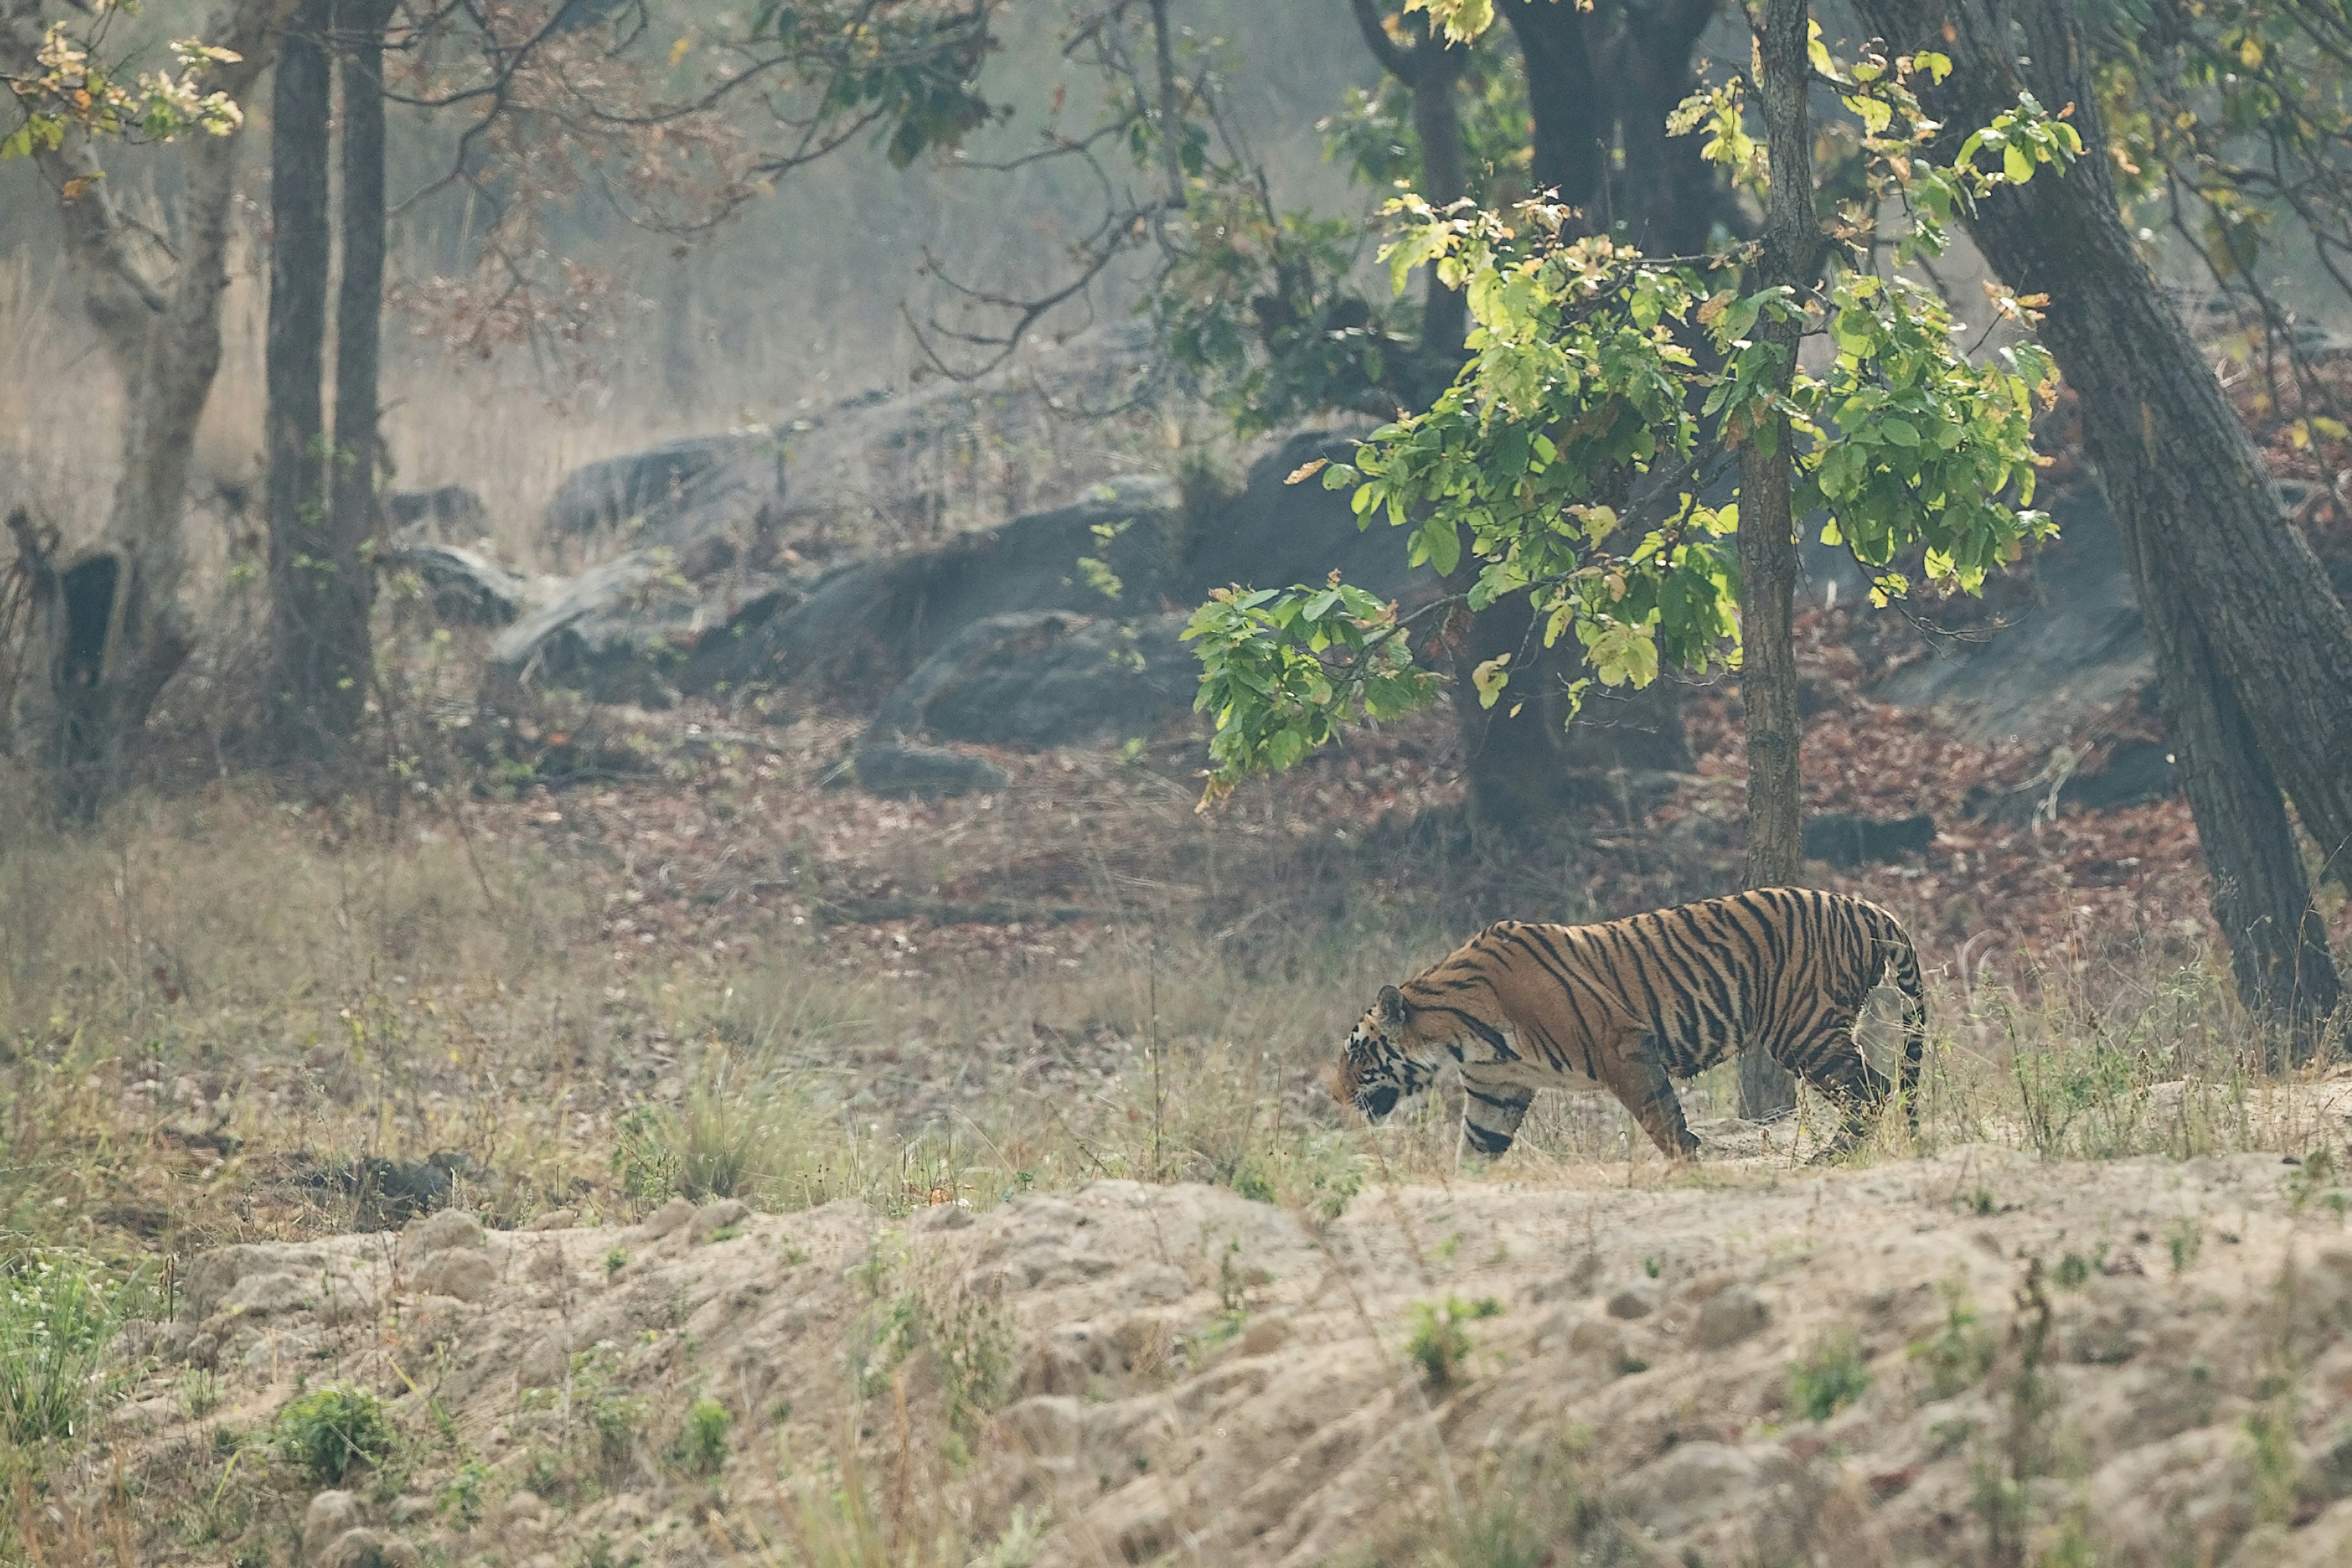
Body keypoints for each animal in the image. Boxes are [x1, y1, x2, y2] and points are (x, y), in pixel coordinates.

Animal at [1336, 887, 1927, 1160]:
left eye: (1357, 1054)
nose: (1338, 1098)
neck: (1461, 1038)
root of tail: (1866, 906)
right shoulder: (1496, 1089)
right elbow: (1475, 1151)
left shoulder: (1622, 1046)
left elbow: (1661, 1119)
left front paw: (1690, 1165)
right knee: (1876, 1087)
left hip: (1803, 1028)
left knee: (1874, 1088)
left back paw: (1829, 1157)